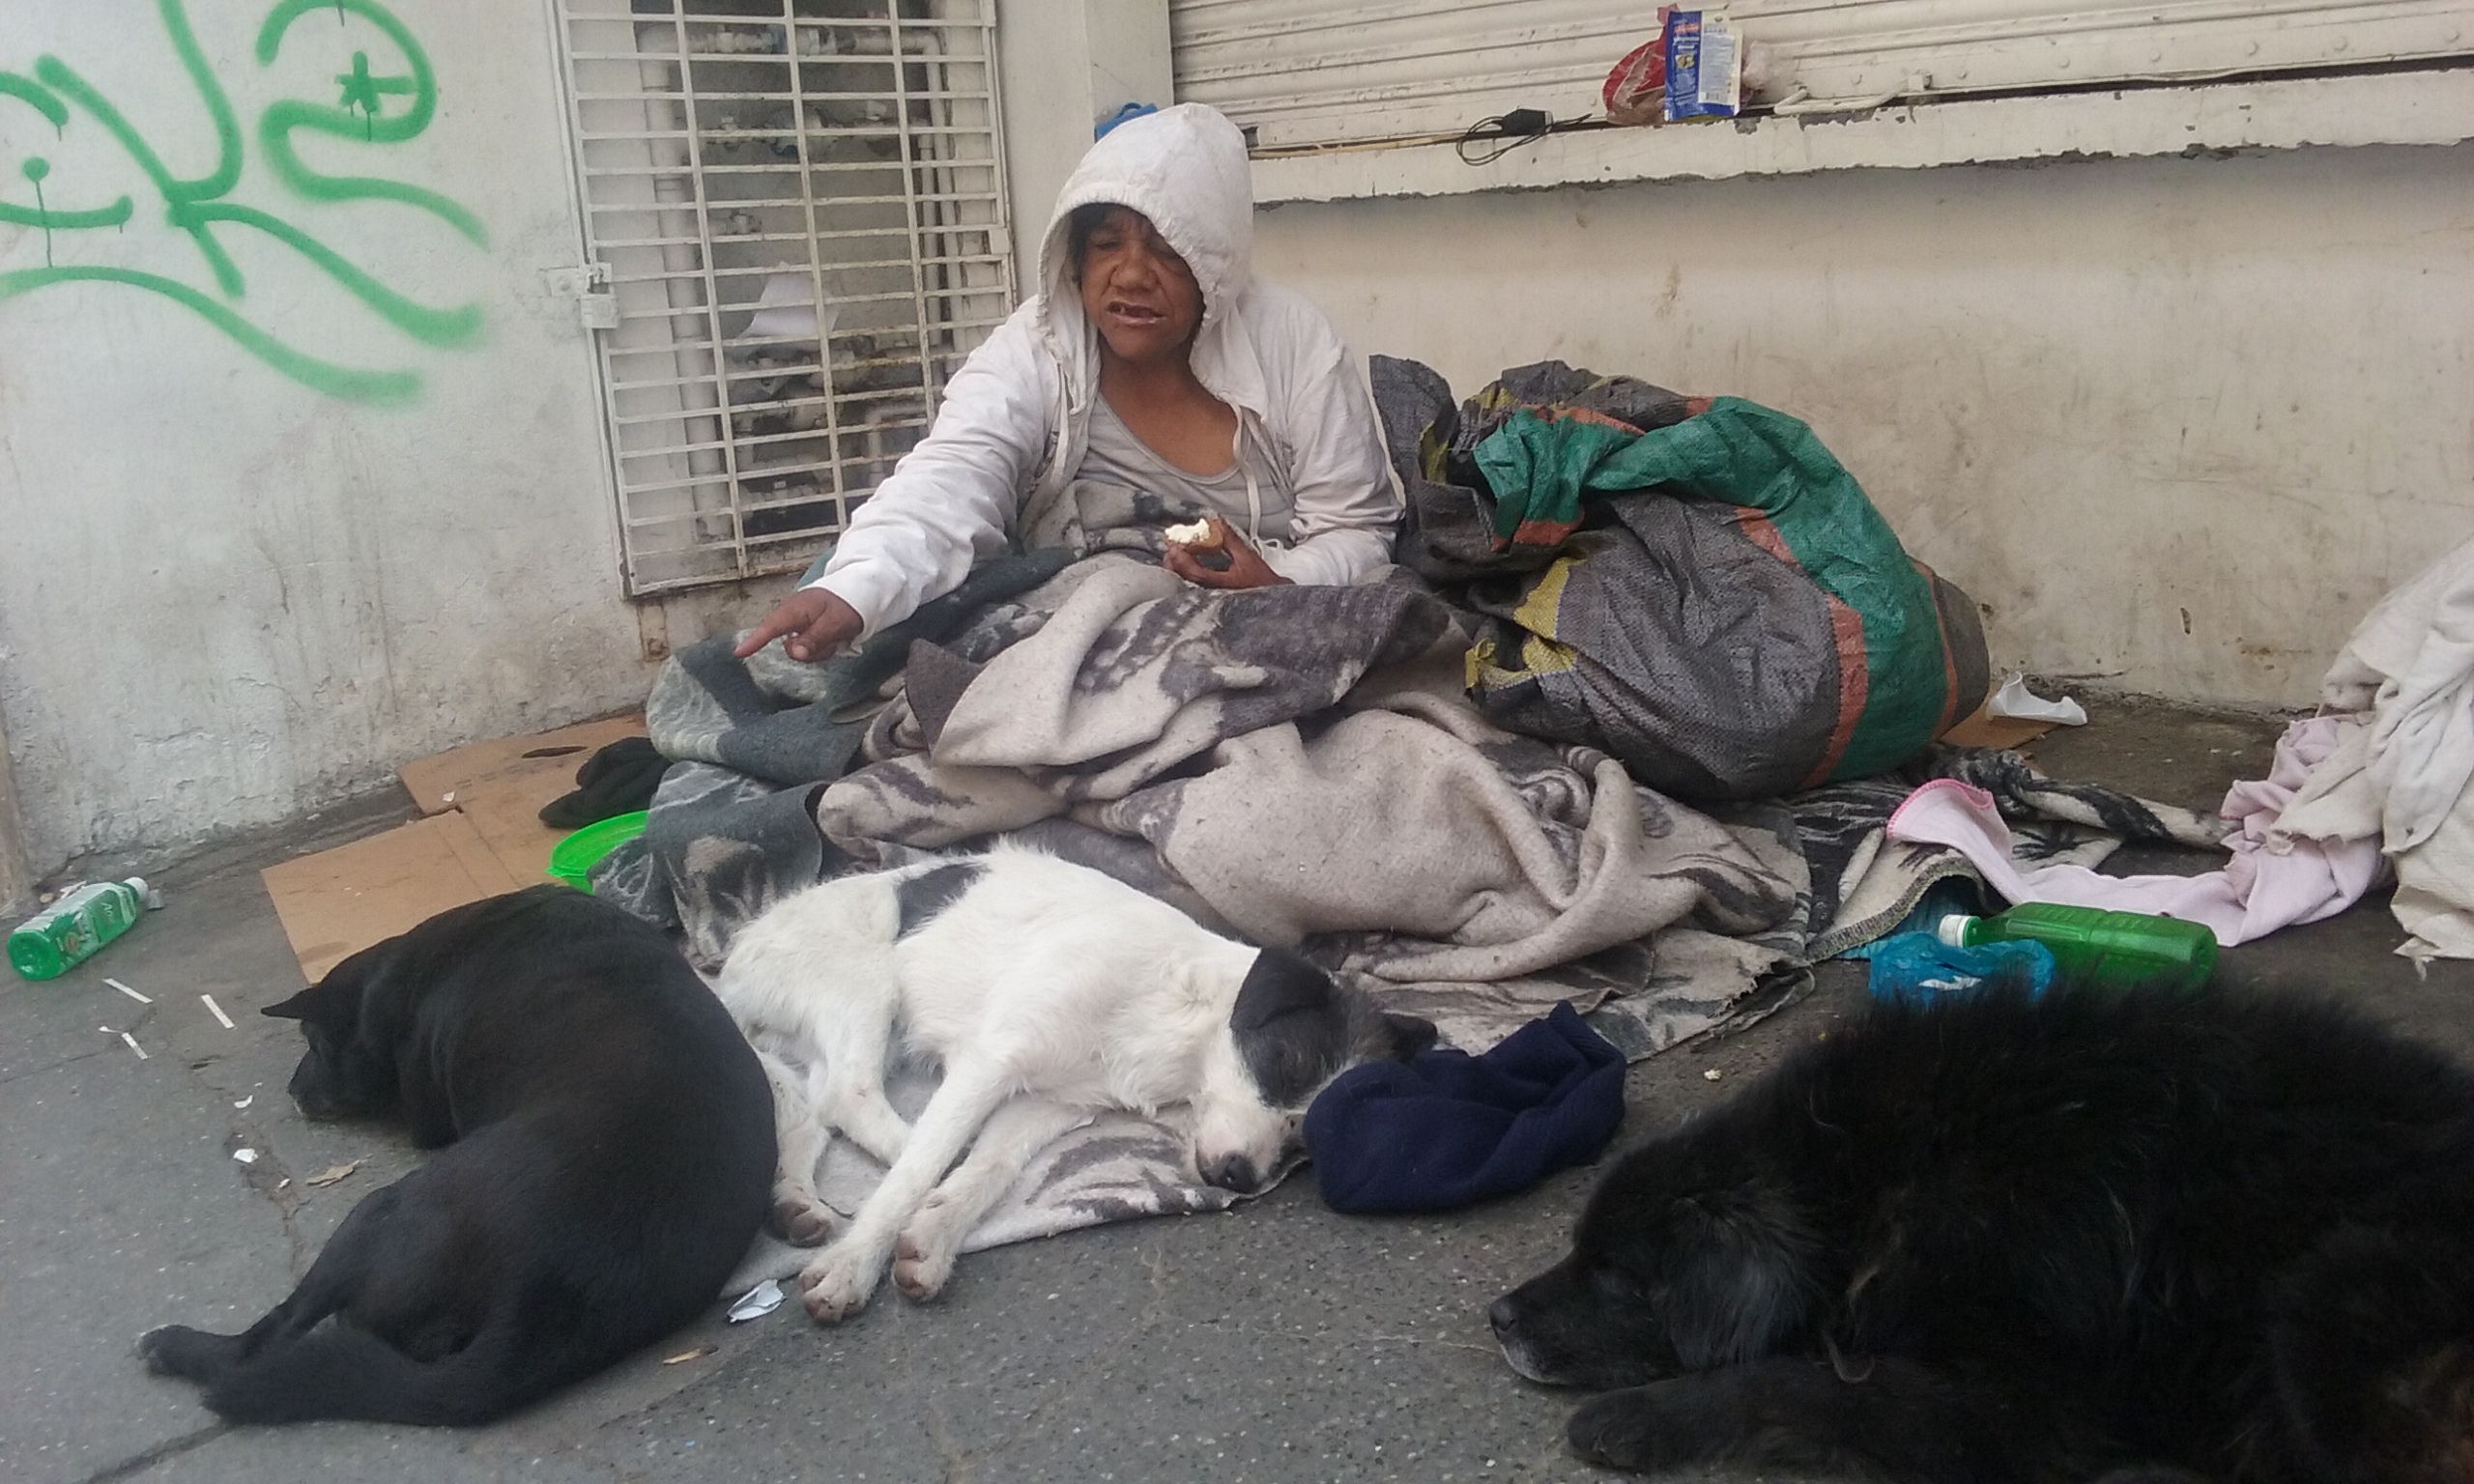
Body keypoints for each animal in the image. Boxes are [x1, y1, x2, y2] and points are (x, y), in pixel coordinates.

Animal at [139, 887, 776, 1426]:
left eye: (316, 1044)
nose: (293, 1091)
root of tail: (543, 1297)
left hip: (376, 1213)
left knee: (265, 1339)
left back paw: (173, 1346)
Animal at [717, 844, 1436, 1324]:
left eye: (1305, 1142)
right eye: (1284, 1065)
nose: (1241, 1177)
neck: (1170, 1009)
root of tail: (731, 968)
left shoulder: (1049, 1103)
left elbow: (990, 1170)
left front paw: (936, 1236)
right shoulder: (993, 1059)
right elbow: (920, 1173)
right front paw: (856, 1262)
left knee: (811, 1109)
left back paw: (797, 1202)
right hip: (864, 985)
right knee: (849, 1096)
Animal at [1491, 986, 2474, 1482]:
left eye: (1617, 1279)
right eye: (1578, 1249)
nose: (1498, 1319)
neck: (1874, 1175)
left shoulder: (2024, 1413)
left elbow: (1799, 1383)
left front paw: (1647, 1417)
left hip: (2327, 1295)